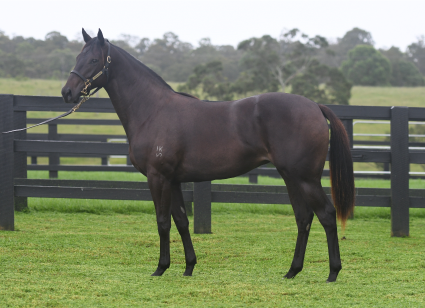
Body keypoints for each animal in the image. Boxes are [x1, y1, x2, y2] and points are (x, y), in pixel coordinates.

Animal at [62, 28, 354, 282]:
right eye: (77, 57)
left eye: (93, 59)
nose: (67, 92)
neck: (153, 110)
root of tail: (314, 106)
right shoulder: (173, 180)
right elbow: (181, 220)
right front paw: (189, 267)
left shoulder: (158, 177)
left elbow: (162, 222)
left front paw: (160, 268)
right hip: (291, 177)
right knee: (304, 218)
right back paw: (293, 271)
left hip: (306, 178)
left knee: (327, 215)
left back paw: (333, 272)